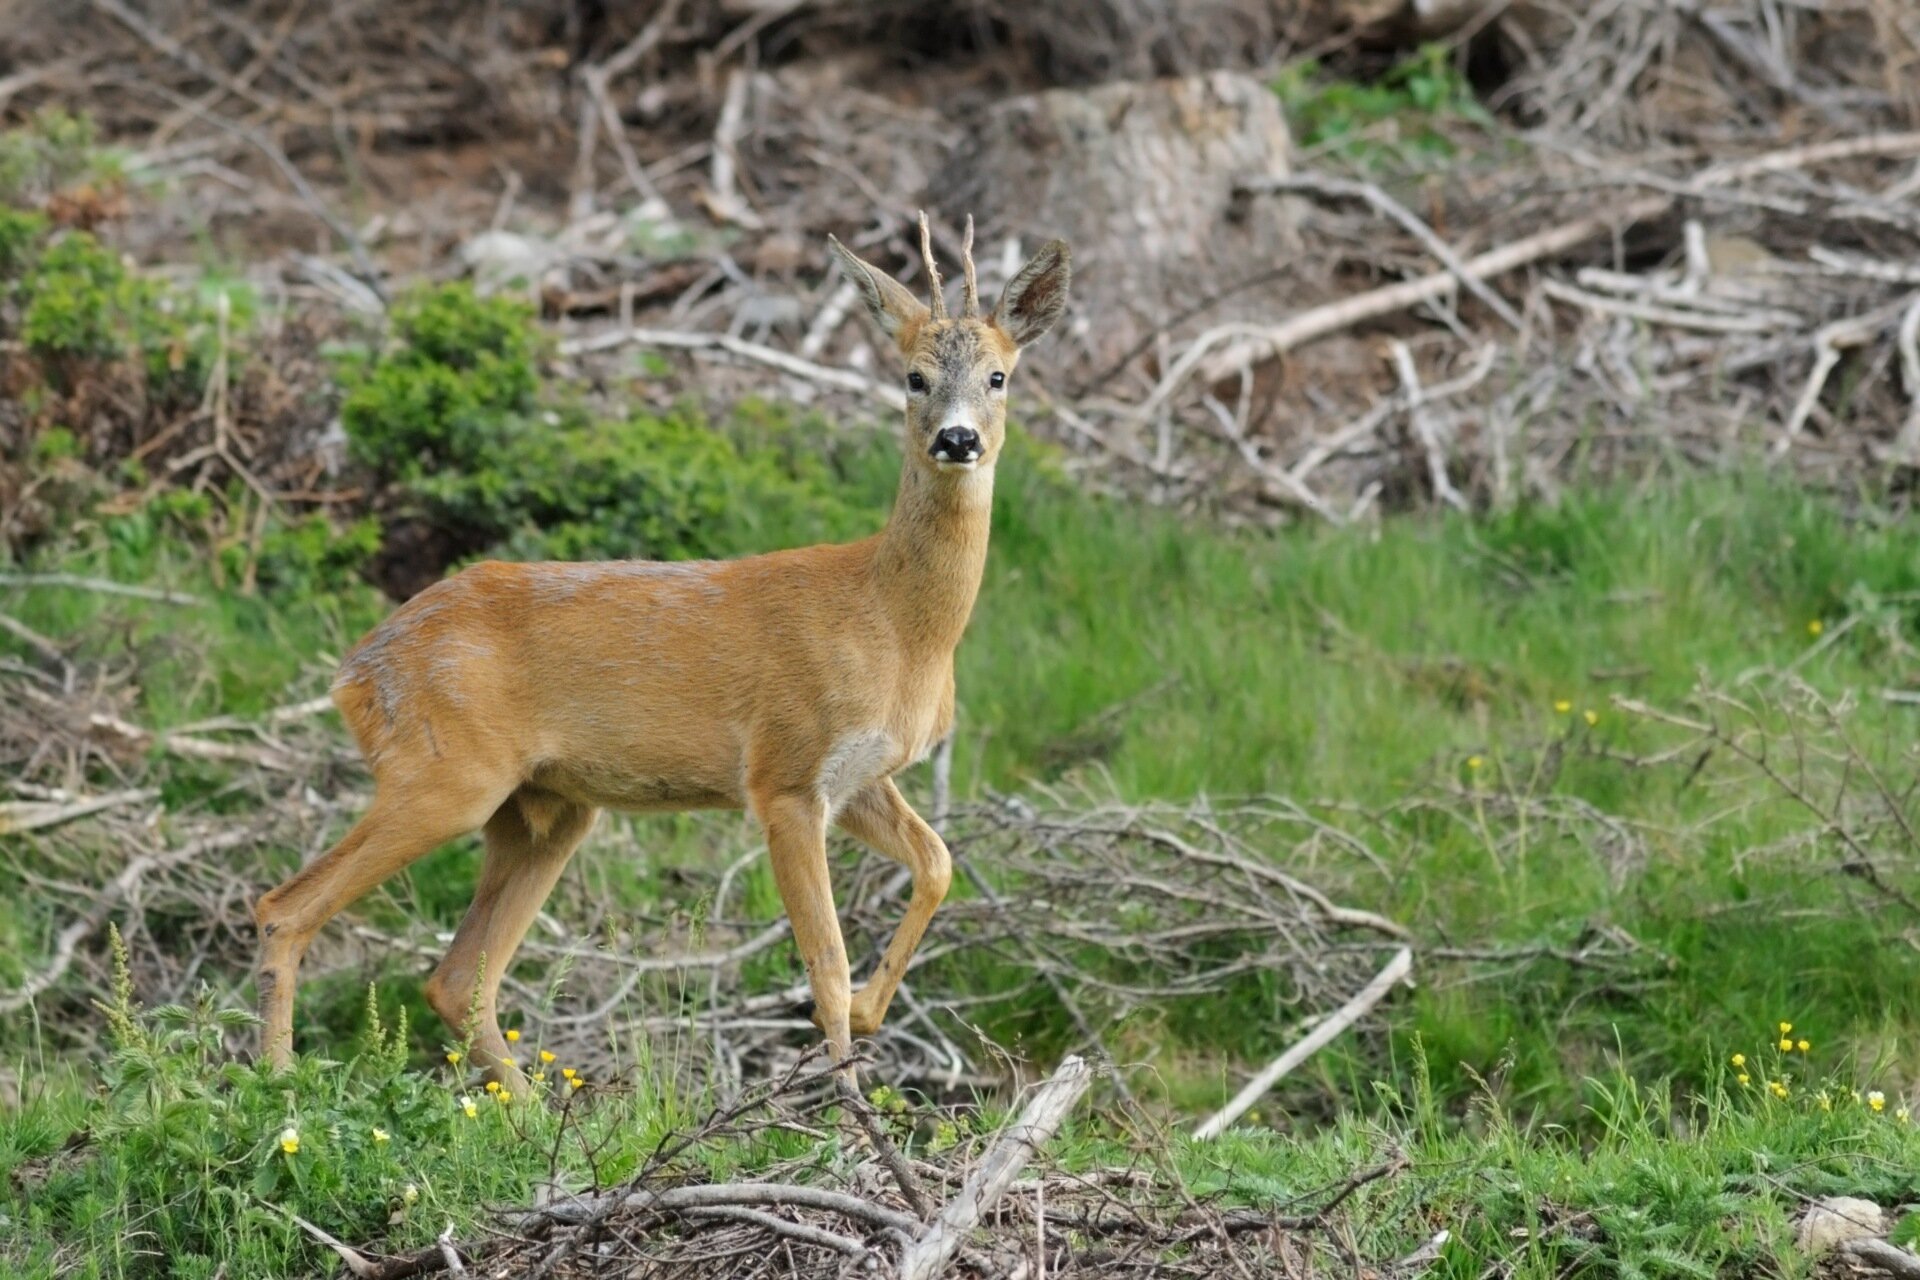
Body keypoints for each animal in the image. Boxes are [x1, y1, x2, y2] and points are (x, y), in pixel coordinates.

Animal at [249, 217, 1075, 1082]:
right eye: (914, 377)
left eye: (998, 377)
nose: (958, 439)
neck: (895, 626)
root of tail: (354, 671)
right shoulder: (783, 772)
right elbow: (825, 959)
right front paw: (845, 1101)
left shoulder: (856, 778)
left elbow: (938, 860)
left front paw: (871, 1012)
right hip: (444, 771)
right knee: (286, 908)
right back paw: (276, 1084)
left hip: (546, 809)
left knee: (456, 975)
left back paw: (529, 1106)